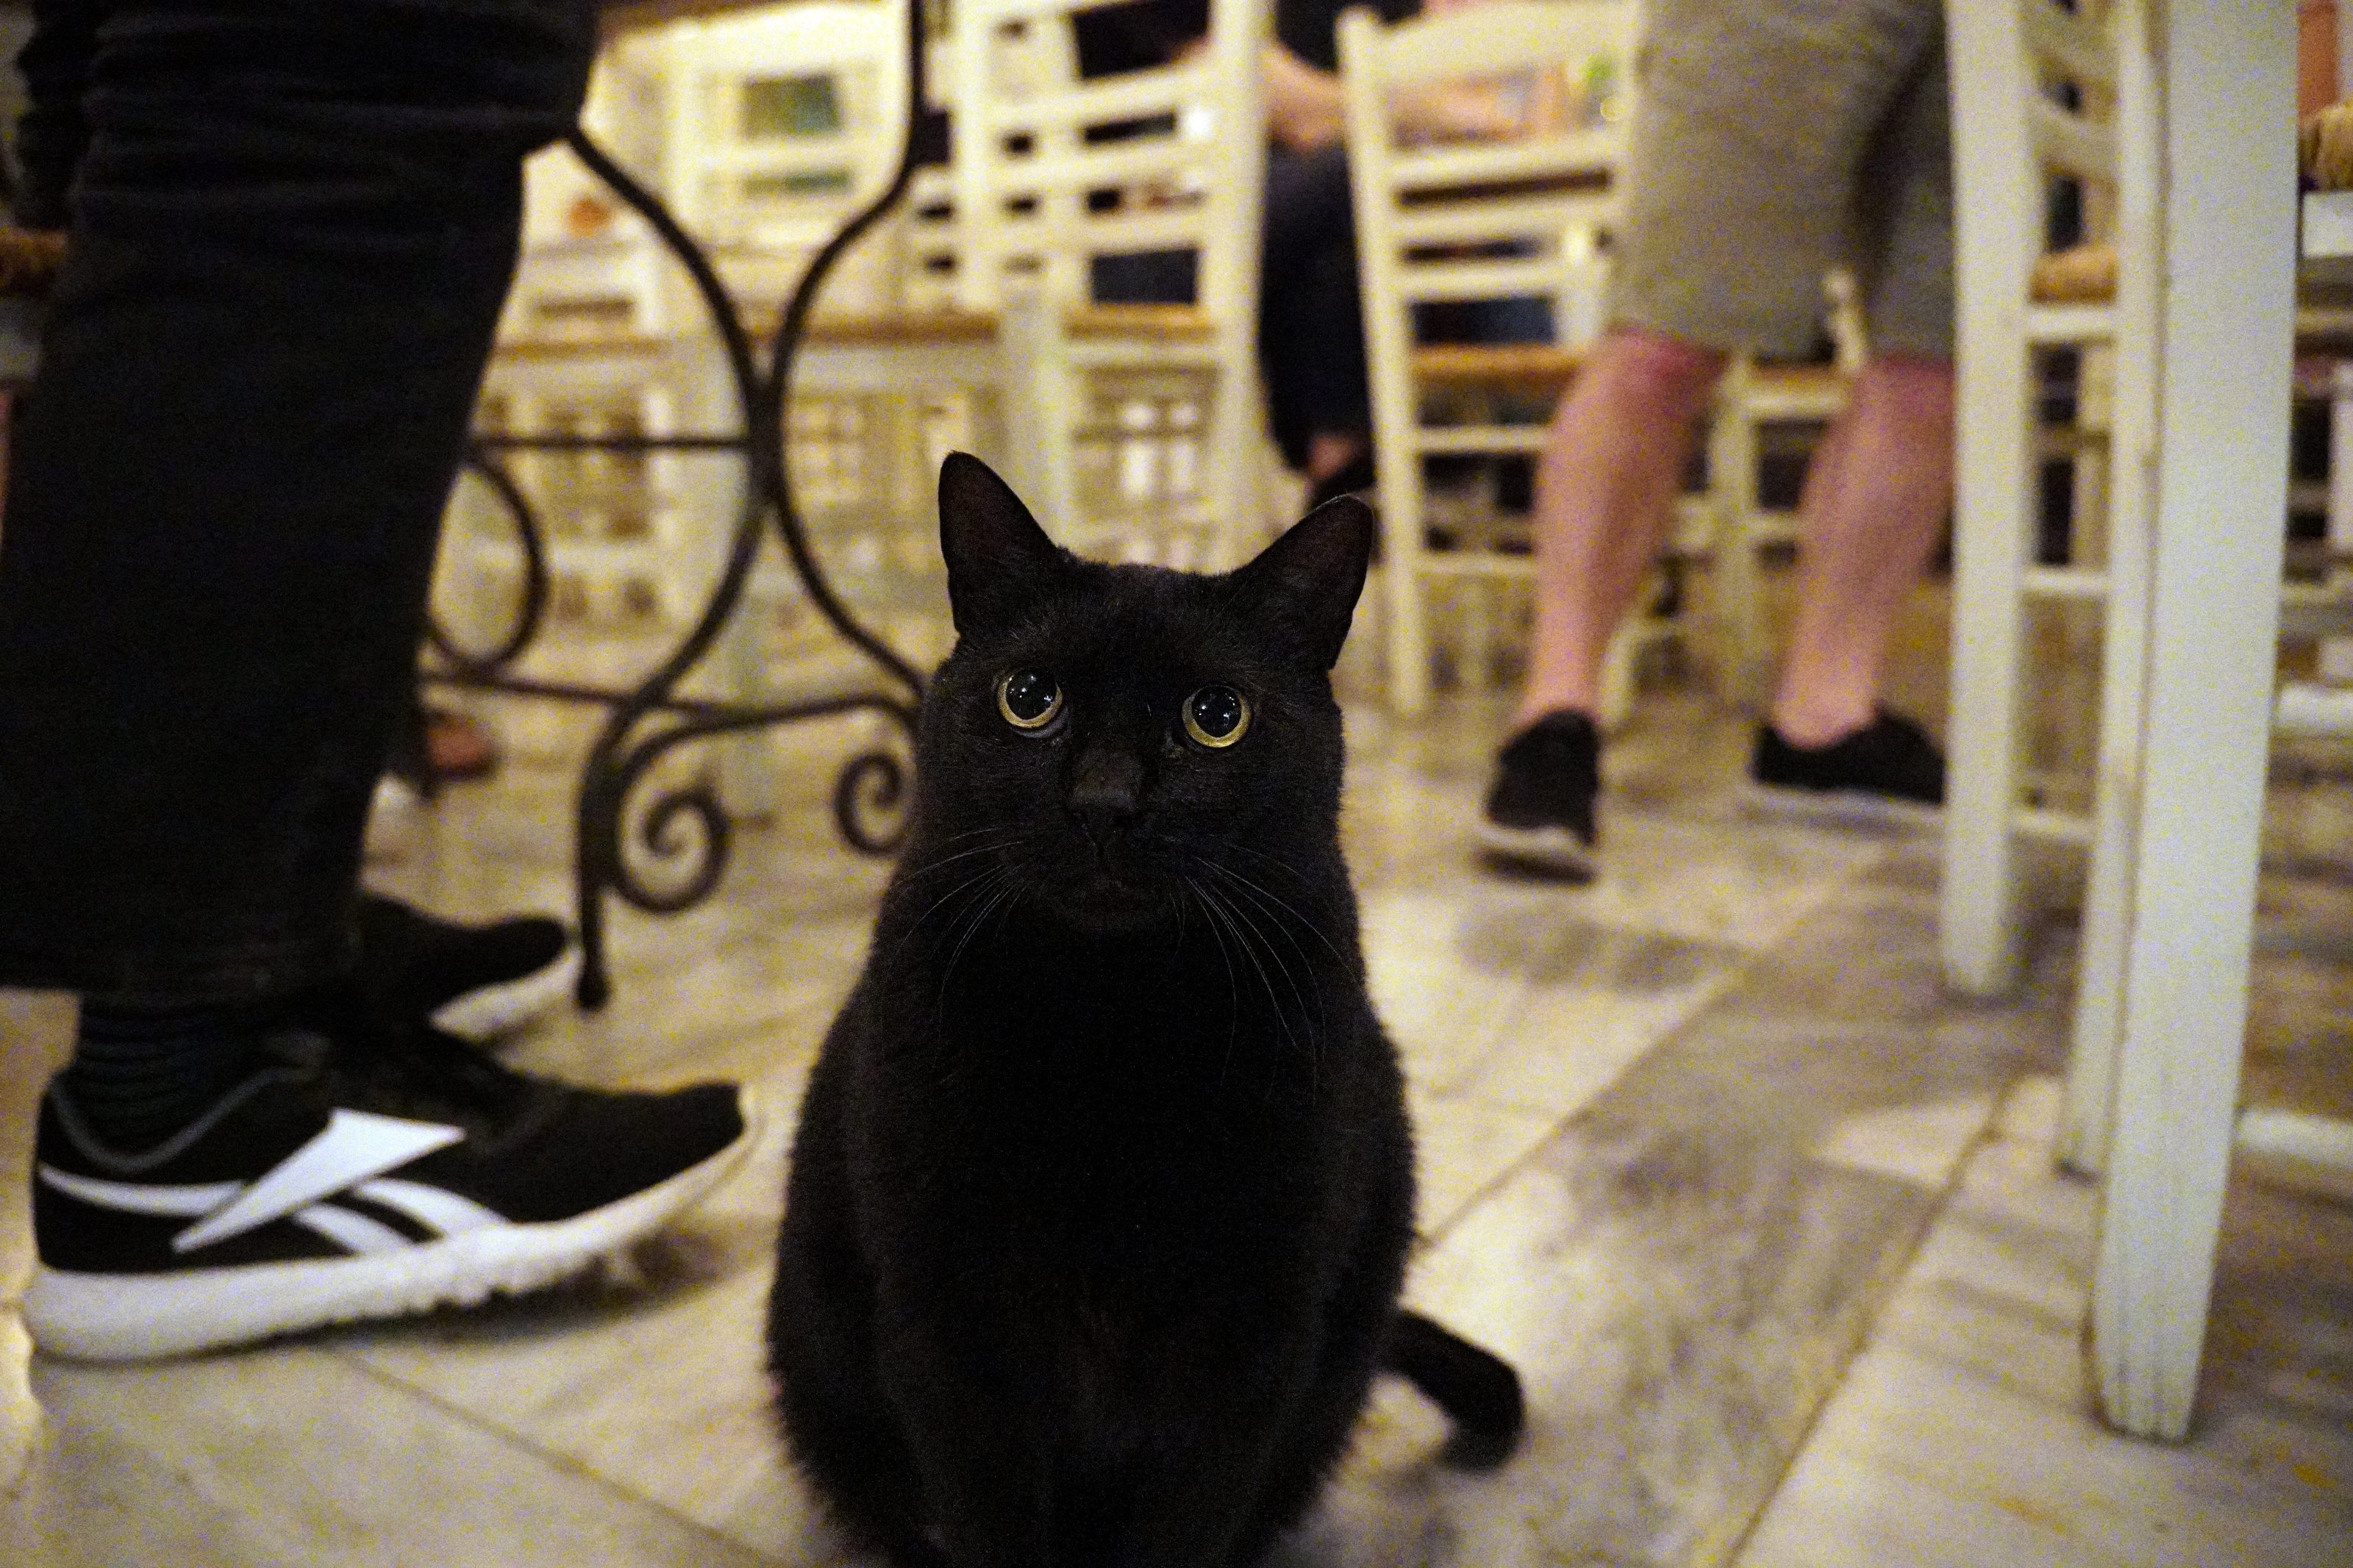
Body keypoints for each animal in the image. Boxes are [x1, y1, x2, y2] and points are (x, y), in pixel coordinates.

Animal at [762, 456, 1515, 1568]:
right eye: (1029, 698)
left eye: (1216, 715)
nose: (1106, 802)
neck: (1110, 1028)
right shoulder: (951, 1328)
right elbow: (989, 1520)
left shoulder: (1247, 1342)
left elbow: (1185, 1521)